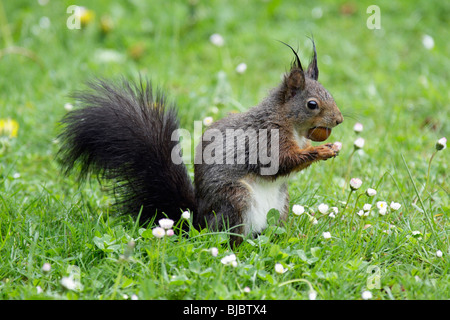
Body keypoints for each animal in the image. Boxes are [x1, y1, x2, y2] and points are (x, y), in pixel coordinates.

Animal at [58, 40, 342, 245]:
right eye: (312, 104)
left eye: (330, 94)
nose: (339, 119)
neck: (288, 123)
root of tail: (199, 222)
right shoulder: (265, 139)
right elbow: (281, 162)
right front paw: (321, 150)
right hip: (236, 199)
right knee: (231, 238)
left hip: (281, 204)